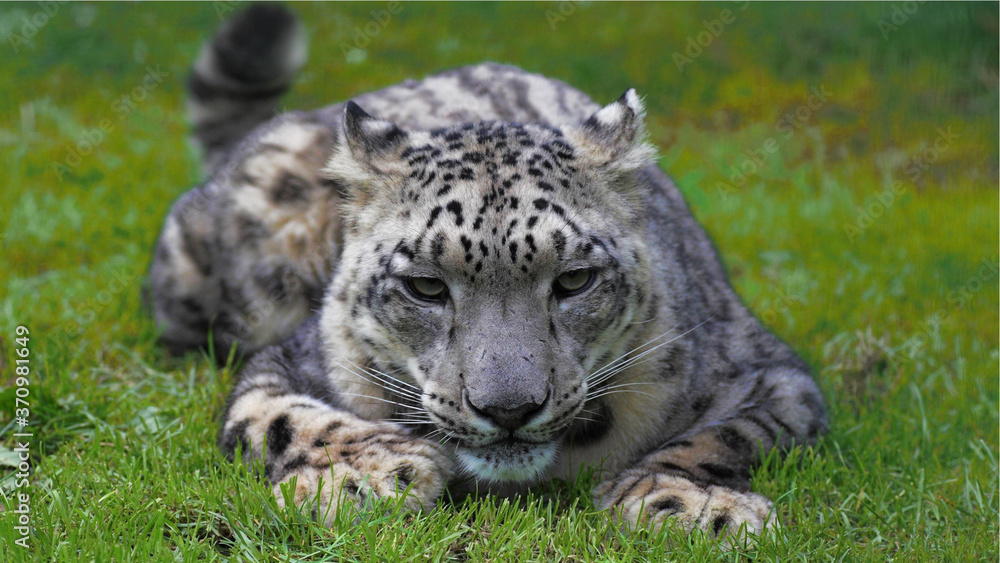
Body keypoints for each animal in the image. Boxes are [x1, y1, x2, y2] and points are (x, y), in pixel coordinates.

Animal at [147, 4, 826, 540]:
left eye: (574, 280)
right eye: (425, 286)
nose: (508, 410)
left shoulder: (770, 376)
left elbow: (720, 436)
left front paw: (693, 503)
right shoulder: (293, 363)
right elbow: (280, 416)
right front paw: (375, 475)